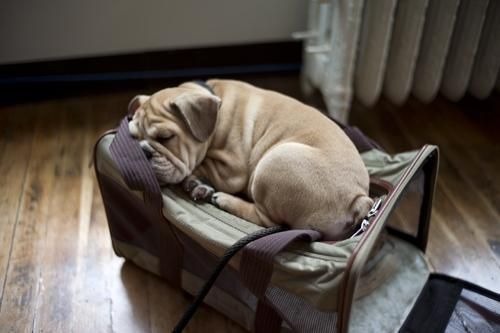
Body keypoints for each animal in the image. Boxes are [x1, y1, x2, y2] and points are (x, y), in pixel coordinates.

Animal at [128, 79, 372, 240]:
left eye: (166, 137)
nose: (143, 151)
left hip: (272, 164)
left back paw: (225, 200)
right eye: (133, 136)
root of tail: (358, 200)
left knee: (267, 220)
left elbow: (203, 165)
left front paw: (196, 181)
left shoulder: (231, 169)